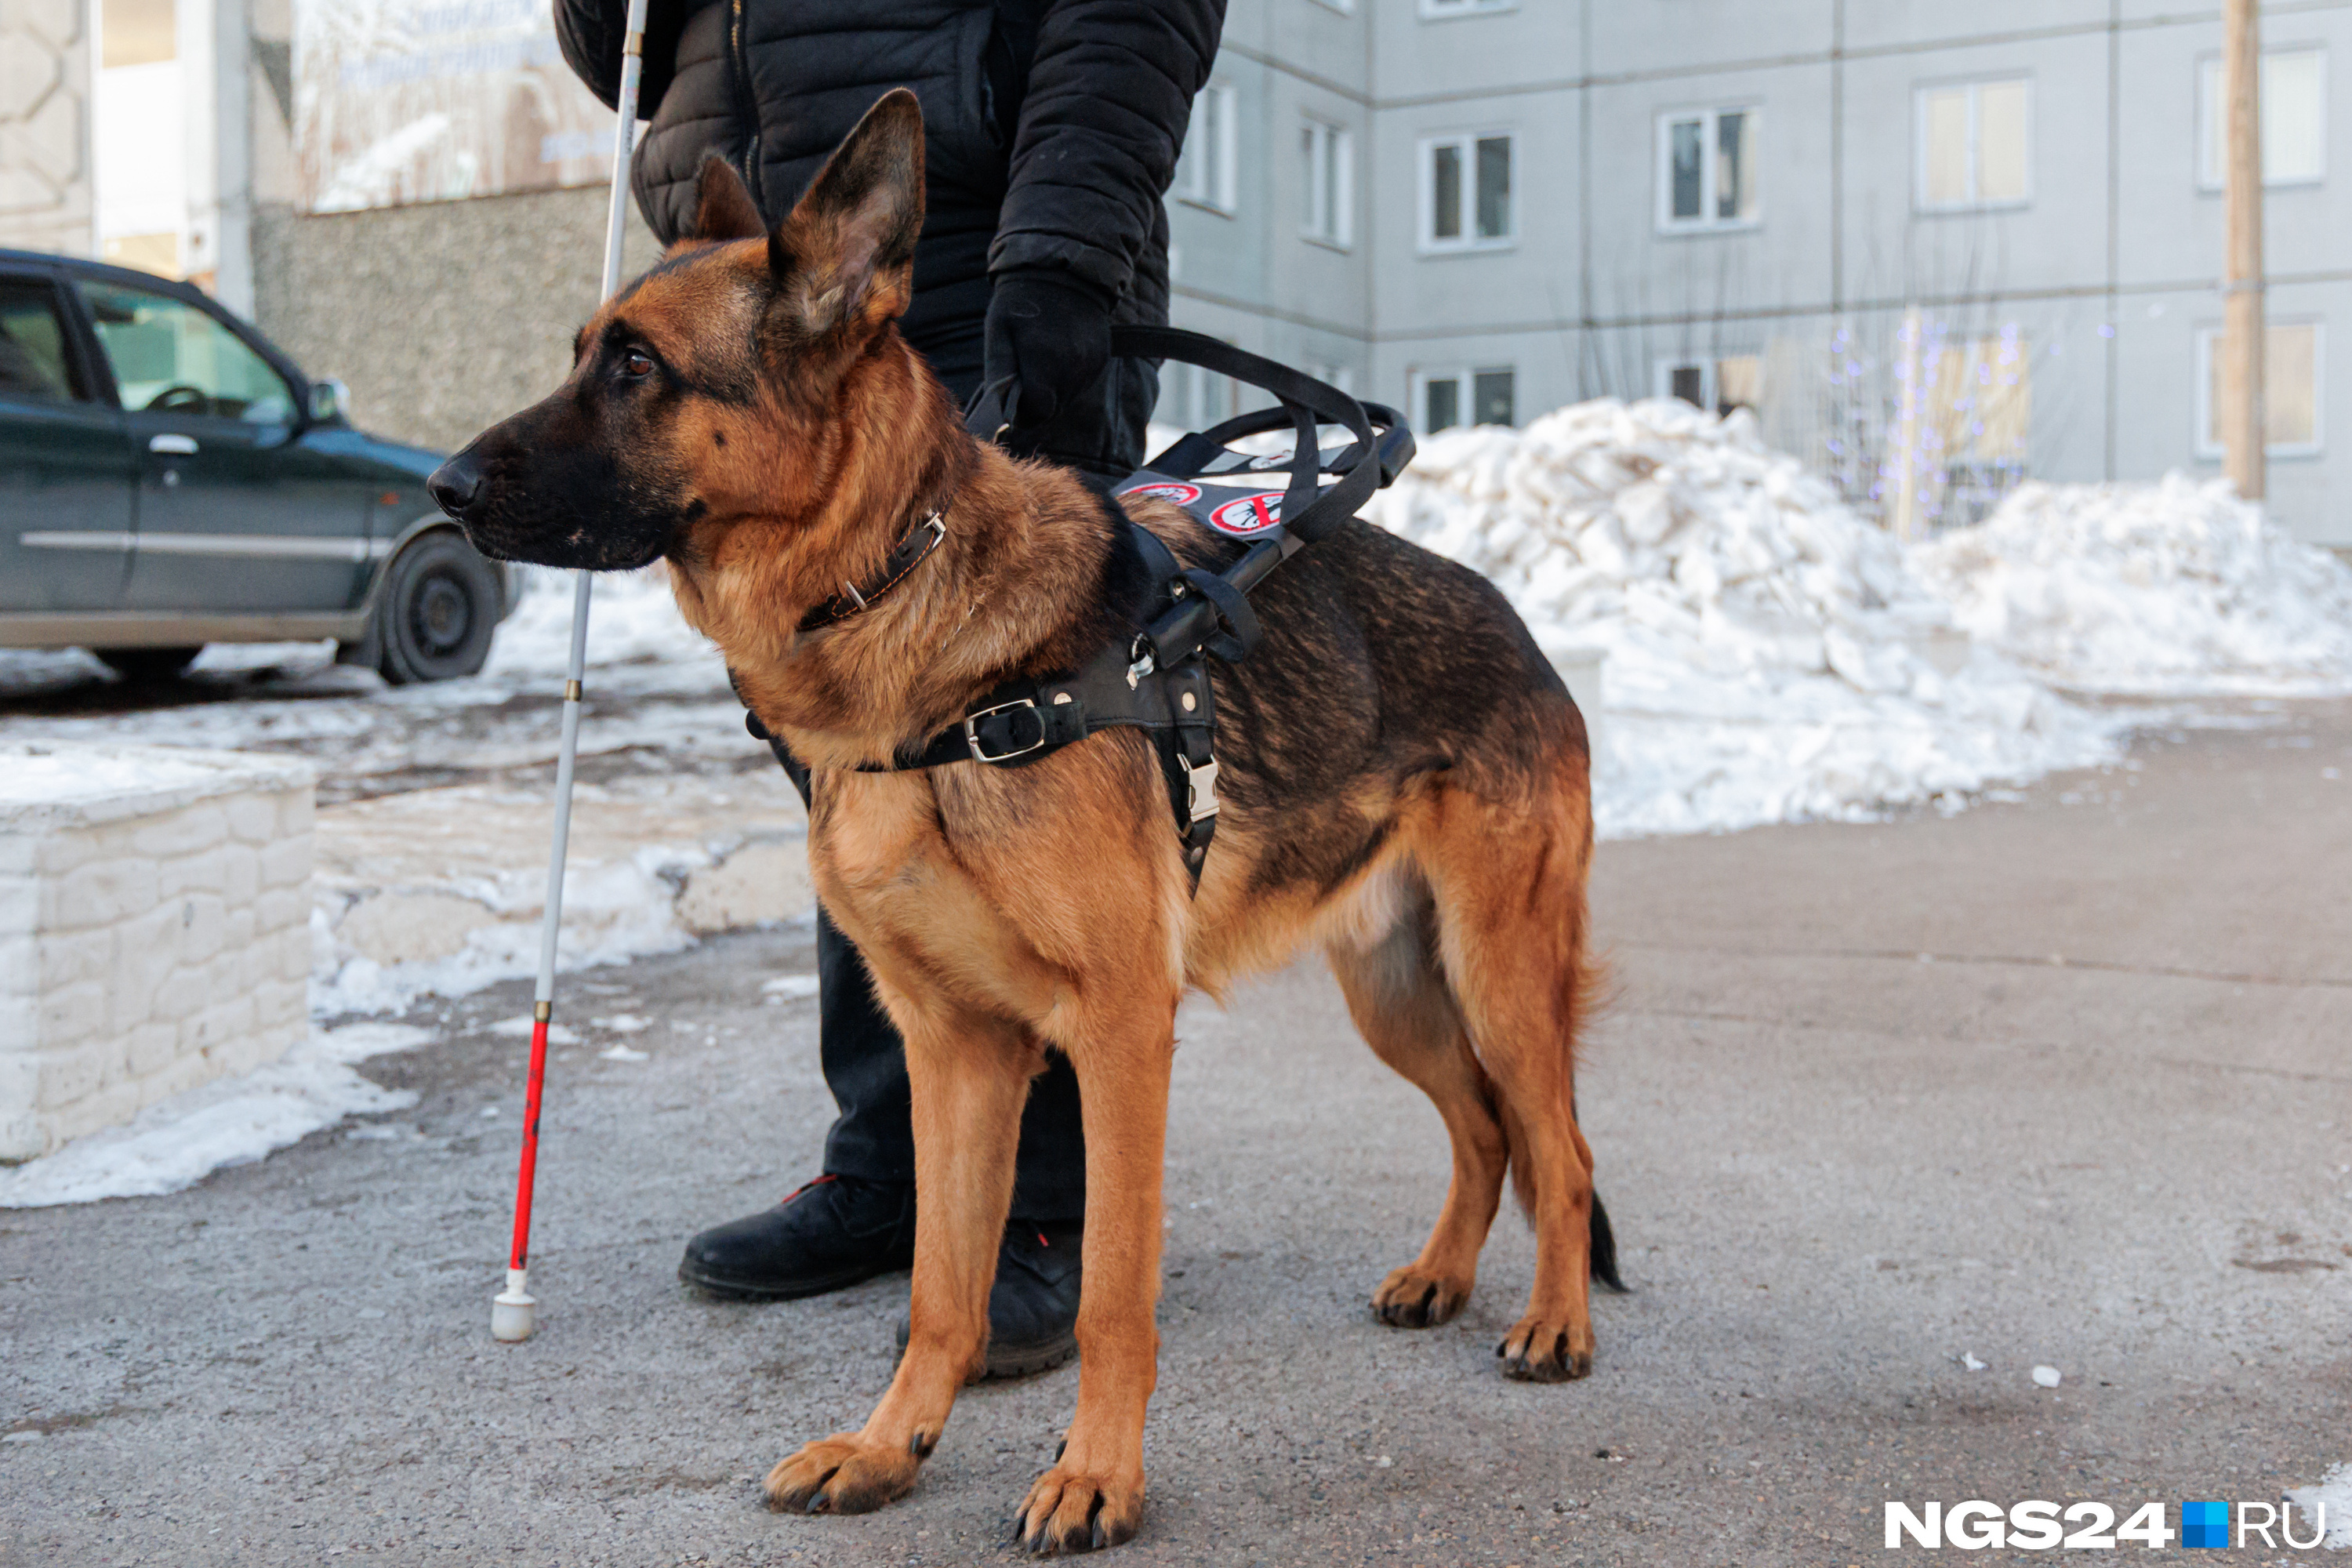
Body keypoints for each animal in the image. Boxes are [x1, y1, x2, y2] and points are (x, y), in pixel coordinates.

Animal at [433, 92, 1618, 1552]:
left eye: (640, 367)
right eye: (584, 357)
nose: (438, 488)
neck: (900, 606)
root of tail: (1515, 620)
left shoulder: (1116, 1034)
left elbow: (1110, 1285)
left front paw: (1098, 1475)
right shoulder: (956, 1049)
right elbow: (938, 1285)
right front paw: (890, 1445)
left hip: (1498, 975)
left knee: (1558, 1141)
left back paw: (1555, 1321)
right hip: (1393, 992)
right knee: (1484, 1128)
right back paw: (1443, 1277)